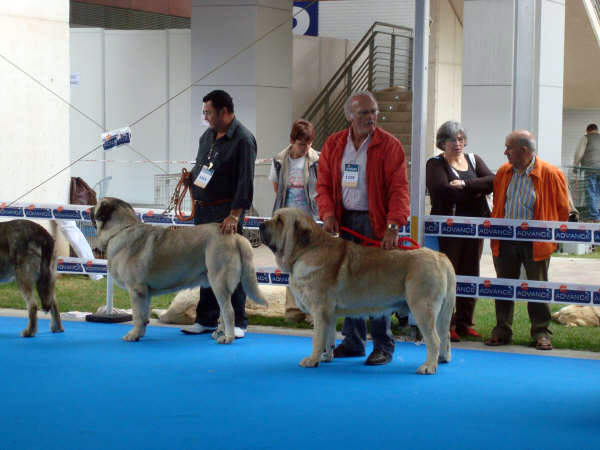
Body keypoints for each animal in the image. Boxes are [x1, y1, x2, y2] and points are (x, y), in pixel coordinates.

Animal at [89, 196, 268, 342]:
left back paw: (228, 337)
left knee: (229, 311)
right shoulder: (145, 292)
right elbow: (144, 315)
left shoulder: (136, 290)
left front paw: (133, 335)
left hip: (219, 281)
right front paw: (140, 333)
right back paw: (220, 333)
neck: (120, 230)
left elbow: (137, 316)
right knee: (224, 312)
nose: (88, 209)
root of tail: (236, 237)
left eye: (96, 204)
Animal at [260, 209, 458, 374]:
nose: (261, 225)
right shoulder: (329, 313)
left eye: (280, 220)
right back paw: (442, 359)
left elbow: (317, 338)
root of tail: (441, 257)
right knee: (444, 334)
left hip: (422, 308)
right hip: (441, 312)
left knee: (434, 339)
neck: (306, 250)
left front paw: (312, 360)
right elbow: (328, 337)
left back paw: (428, 366)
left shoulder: (319, 310)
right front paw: (326, 357)